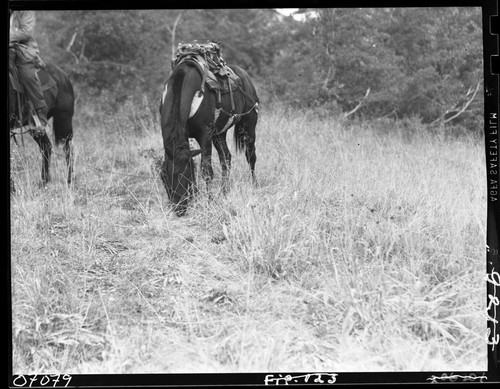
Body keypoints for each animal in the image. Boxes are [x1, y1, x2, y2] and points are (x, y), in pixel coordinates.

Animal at [9, 49, 74, 189]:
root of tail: (63, 75)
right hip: (36, 127)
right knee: (47, 147)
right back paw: (44, 181)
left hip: (64, 120)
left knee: (68, 149)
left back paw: (69, 180)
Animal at [160, 42, 262, 215]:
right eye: (164, 176)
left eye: (183, 175)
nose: (179, 209)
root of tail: (244, 76)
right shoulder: (189, 136)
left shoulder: (205, 134)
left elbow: (206, 170)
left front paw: (209, 201)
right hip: (219, 134)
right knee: (226, 158)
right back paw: (224, 190)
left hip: (248, 125)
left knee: (251, 155)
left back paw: (254, 184)